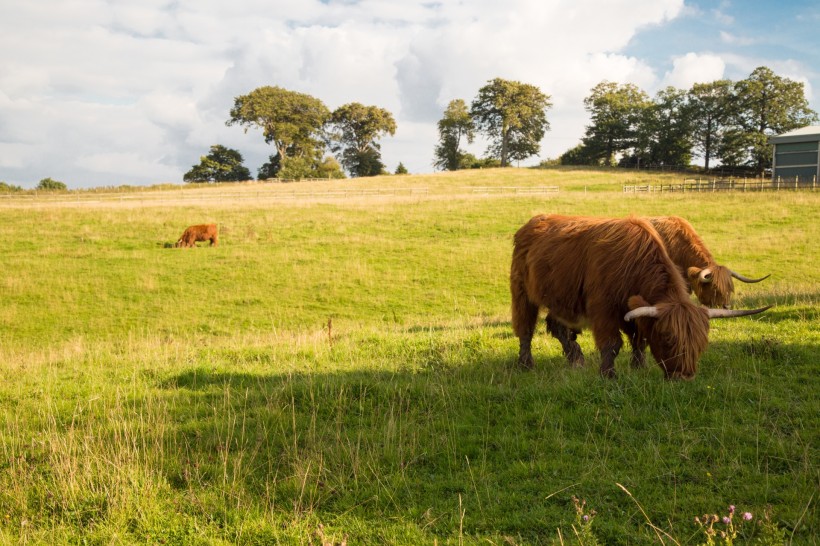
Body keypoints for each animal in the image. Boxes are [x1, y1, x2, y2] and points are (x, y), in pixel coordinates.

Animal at [510, 214, 772, 378]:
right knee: (525, 328)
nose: (684, 376)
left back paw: (576, 360)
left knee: (557, 327)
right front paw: (608, 375)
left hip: (560, 298)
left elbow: (640, 340)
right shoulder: (603, 310)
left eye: (700, 343)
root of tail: (532, 222)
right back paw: (525, 364)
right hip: (522, 292)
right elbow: (612, 344)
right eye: (669, 338)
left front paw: (639, 367)